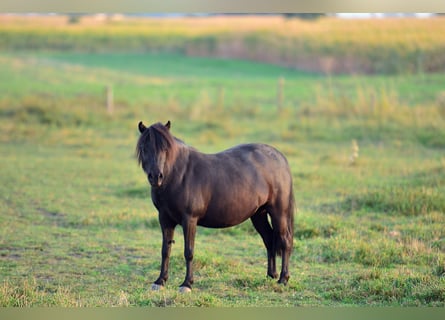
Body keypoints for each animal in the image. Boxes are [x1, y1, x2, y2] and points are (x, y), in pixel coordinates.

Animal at [135, 120, 294, 292]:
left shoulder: (189, 219)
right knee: (269, 239)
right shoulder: (164, 219)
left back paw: (283, 279)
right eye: (144, 148)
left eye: (165, 148)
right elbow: (165, 250)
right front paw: (160, 281)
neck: (179, 175)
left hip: (279, 212)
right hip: (259, 214)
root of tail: (279, 156)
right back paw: (271, 275)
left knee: (285, 241)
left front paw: (186, 284)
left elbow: (188, 251)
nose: (156, 177)